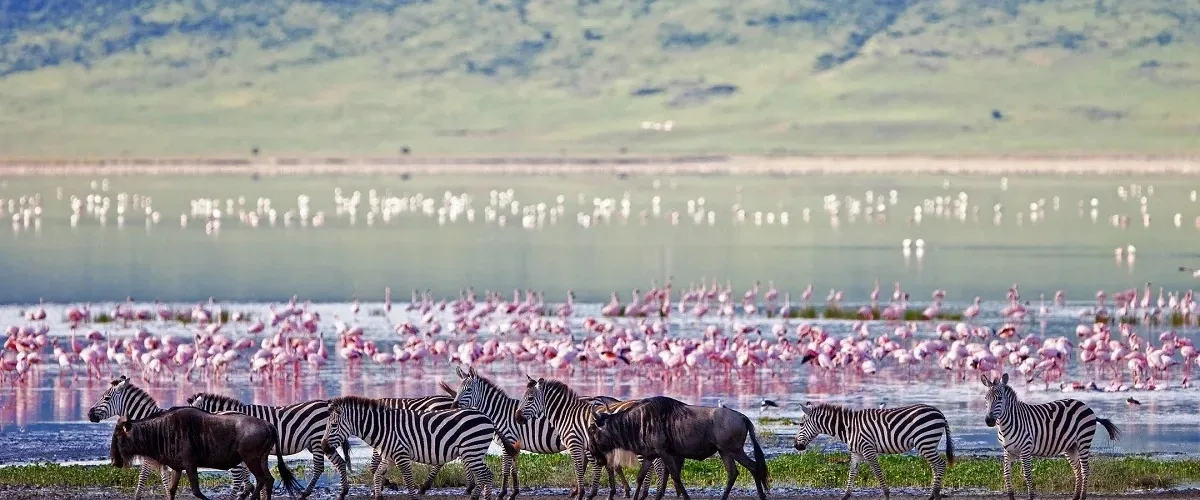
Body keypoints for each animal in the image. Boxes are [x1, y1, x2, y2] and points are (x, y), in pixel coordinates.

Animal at [86, 375, 251, 500]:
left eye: (106, 398)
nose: (89, 414)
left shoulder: (152, 458)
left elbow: (145, 478)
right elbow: (162, 479)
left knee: (238, 478)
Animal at [186, 392, 351, 500]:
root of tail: (327, 404)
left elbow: (245, 474)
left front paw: (250, 492)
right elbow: (249, 474)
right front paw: (253, 492)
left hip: (317, 440)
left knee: (318, 468)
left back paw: (305, 494)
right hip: (322, 443)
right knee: (340, 463)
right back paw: (343, 492)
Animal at [319, 395, 508, 500]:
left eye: (333, 426)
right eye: (327, 425)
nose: (323, 447)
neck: (384, 427)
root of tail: (486, 417)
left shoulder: (401, 455)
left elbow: (408, 481)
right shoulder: (388, 456)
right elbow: (377, 476)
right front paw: (379, 495)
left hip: (472, 450)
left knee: (485, 475)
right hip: (474, 452)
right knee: (485, 476)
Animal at [792, 401, 955, 500]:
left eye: (800, 424)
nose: (796, 446)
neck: (848, 428)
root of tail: (939, 412)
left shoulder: (868, 450)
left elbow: (878, 473)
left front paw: (887, 495)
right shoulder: (856, 453)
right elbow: (852, 474)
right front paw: (845, 496)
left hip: (925, 442)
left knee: (940, 464)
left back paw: (935, 494)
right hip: (928, 444)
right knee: (936, 466)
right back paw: (933, 495)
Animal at [982, 373, 1121, 500]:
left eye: (1000, 398)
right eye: (986, 398)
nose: (989, 421)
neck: (1006, 424)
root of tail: (1085, 406)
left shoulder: (1025, 449)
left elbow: (1027, 474)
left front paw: (1031, 496)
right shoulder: (1008, 451)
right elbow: (1006, 474)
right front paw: (1011, 496)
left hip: (1084, 441)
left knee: (1085, 469)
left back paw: (1082, 496)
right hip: (1071, 447)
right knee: (1077, 469)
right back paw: (1075, 497)